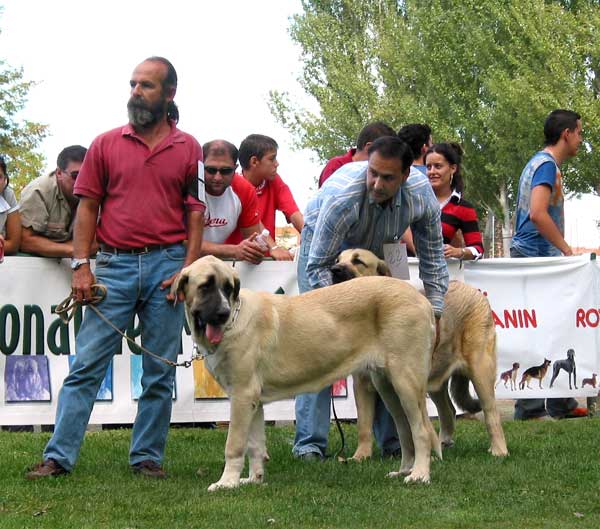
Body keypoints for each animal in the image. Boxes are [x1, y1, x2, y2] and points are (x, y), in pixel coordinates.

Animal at [173, 256, 440, 490]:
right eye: (205, 286)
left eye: (228, 289)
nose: (223, 313)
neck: (235, 321)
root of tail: (421, 299)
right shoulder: (253, 401)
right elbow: (255, 445)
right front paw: (254, 479)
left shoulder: (242, 395)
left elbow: (235, 444)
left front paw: (227, 482)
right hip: (388, 386)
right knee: (405, 429)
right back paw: (404, 470)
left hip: (406, 381)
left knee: (422, 431)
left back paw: (419, 475)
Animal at [330, 248, 508, 458]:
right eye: (338, 259)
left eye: (358, 261)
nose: (334, 269)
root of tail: (472, 290)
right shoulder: (363, 383)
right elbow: (364, 425)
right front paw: (360, 456)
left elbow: (413, 423)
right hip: (436, 378)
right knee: (448, 411)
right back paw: (443, 444)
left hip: (480, 370)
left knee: (491, 411)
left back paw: (498, 450)